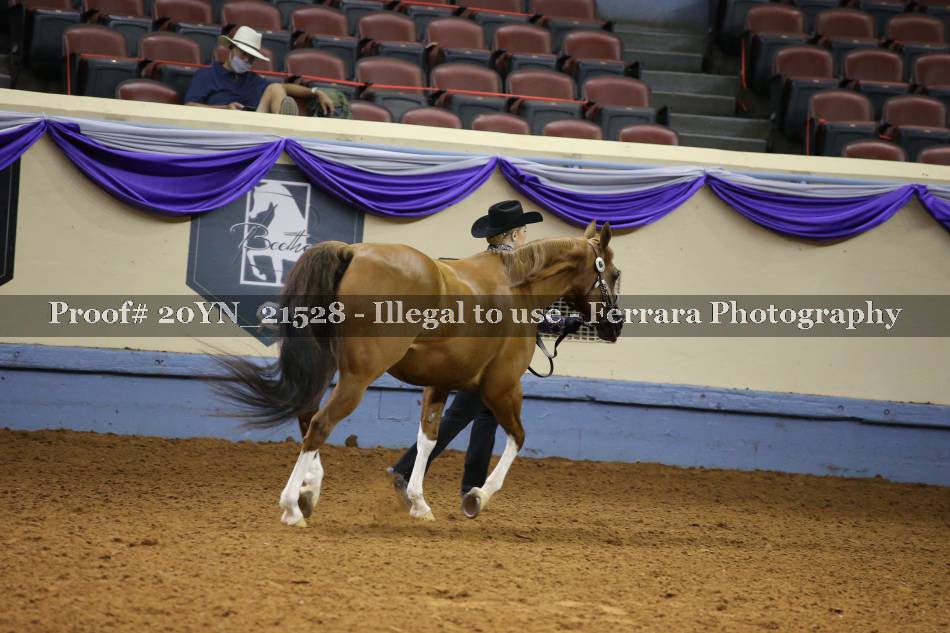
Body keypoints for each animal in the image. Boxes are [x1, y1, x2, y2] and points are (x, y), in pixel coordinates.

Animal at [217, 220, 622, 527]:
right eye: (615, 273)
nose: (615, 326)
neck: (517, 286)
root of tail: (352, 252)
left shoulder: (440, 383)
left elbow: (428, 438)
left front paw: (418, 502)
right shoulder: (502, 386)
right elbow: (517, 438)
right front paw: (477, 497)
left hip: (328, 364)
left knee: (307, 415)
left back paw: (309, 491)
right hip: (358, 376)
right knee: (319, 424)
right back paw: (291, 506)